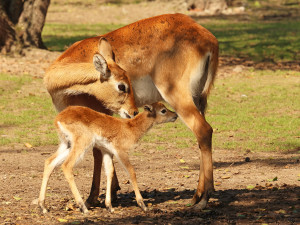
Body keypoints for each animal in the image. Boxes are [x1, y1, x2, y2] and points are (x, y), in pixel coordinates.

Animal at [38, 103, 177, 214]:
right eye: (163, 110)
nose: (175, 114)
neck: (130, 128)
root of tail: (58, 118)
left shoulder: (107, 151)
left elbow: (109, 172)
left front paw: (109, 207)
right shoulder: (120, 151)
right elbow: (131, 172)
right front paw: (143, 205)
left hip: (67, 144)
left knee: (49, 162)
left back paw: (43, 207)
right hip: (82, 143)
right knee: (67, 165)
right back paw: (83, 208)